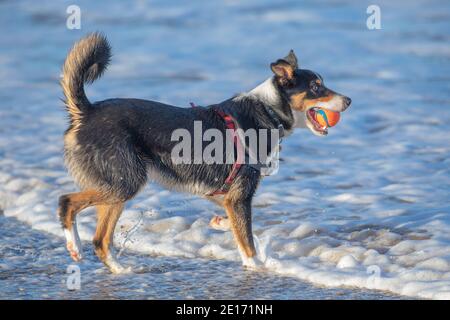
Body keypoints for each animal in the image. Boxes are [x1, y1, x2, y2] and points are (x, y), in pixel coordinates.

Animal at [57, 31, 352, 272]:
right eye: (316, 87)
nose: (348, 100)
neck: (268, 110)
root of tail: (86, 111)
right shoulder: (240, 196)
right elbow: (247, 242)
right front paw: (256, 266)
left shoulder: (227, 195)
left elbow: (241, 231)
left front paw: (220, 225)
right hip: (125, 182)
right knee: (67, 202)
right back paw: (75, 245)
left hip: (118, 187)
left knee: (101, 240)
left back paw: (120, 269)